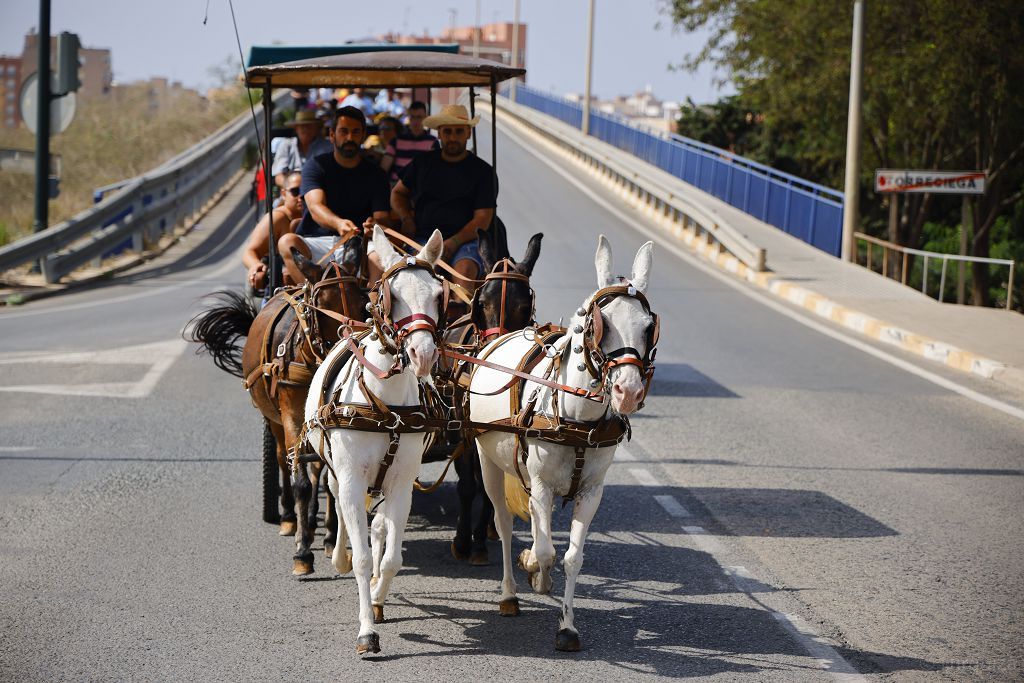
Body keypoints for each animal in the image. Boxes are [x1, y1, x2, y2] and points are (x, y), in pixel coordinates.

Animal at [184, 237, 368, 573]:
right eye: (319, 304)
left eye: (363, 301)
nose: (347, 349)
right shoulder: (290, 414)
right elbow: (300, 479)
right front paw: (302, 550)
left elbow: (328, 478)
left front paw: (329, 537)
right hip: (274, 419)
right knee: (284, 459)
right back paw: (287, 517)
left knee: (315, 466)